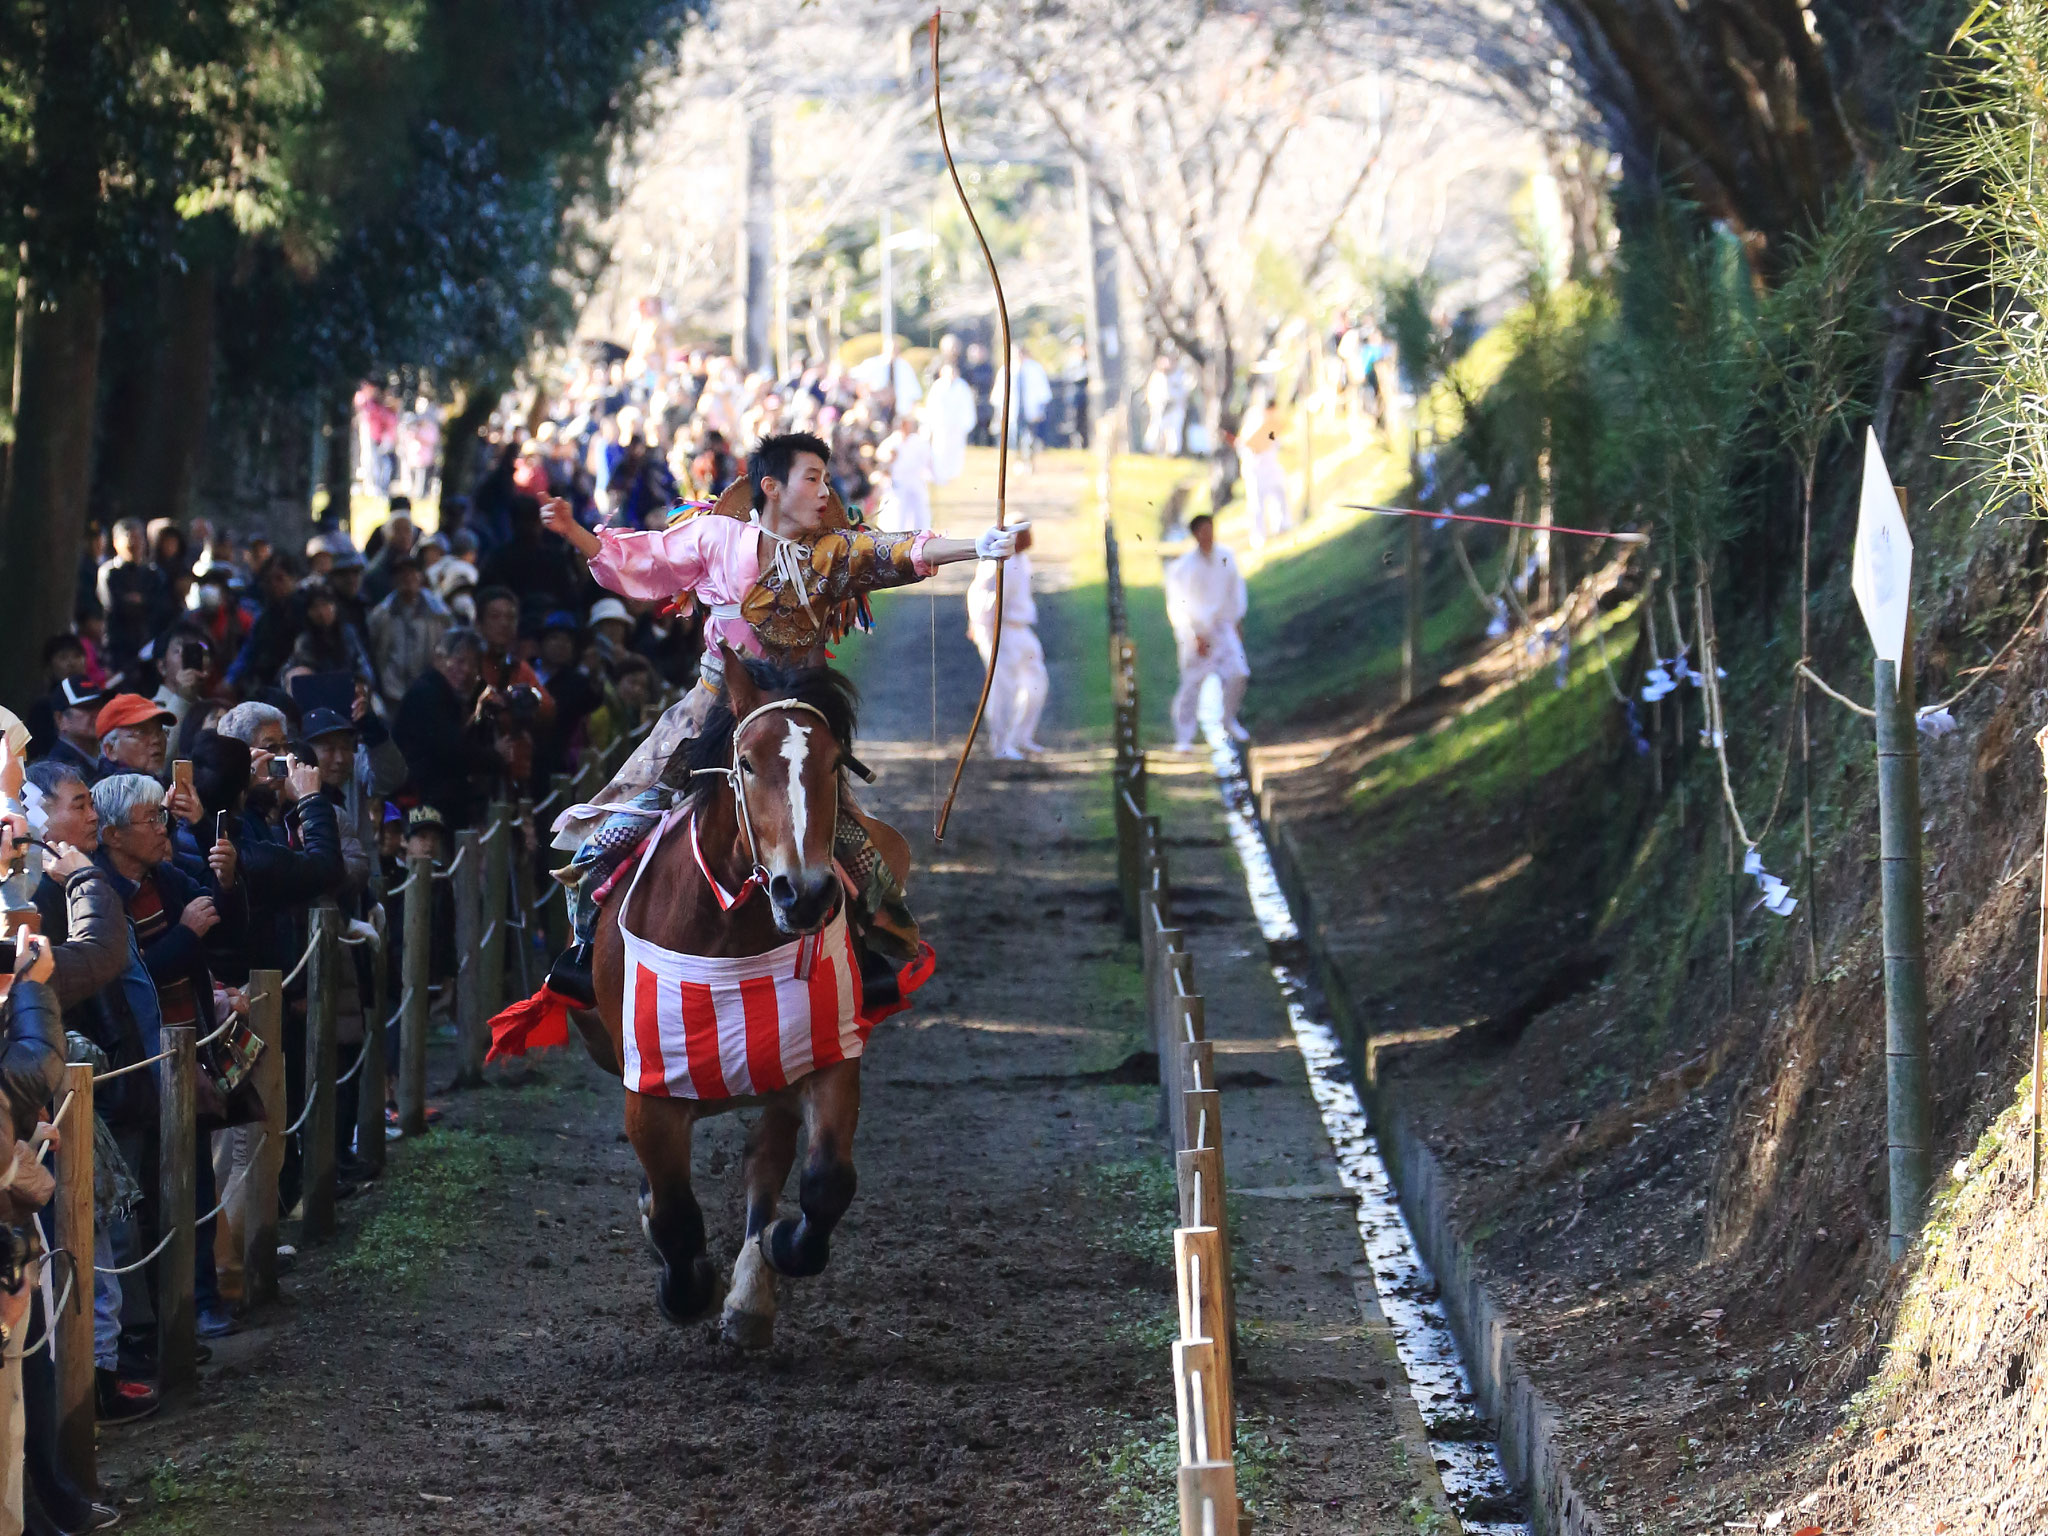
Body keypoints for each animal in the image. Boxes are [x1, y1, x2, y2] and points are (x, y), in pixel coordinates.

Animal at [573, 647, 901, 1343]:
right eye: (747, 762)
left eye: (835, 763)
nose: (804, 893)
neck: (726, 929)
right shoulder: (651, 1083)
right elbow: (672, 1210)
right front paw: (683, 1286)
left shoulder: (819, 1055)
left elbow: (825, 1181)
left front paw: (778, 1251)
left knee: (764, 1164)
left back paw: (751, 1296)